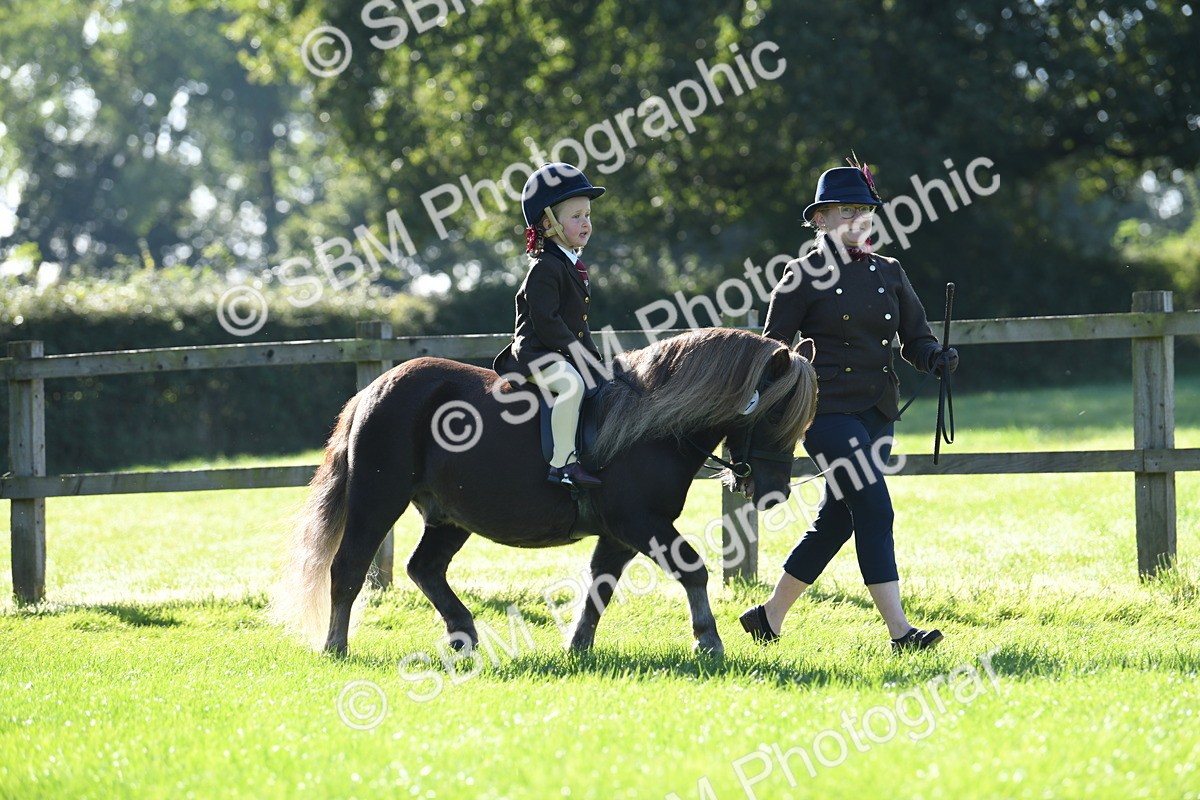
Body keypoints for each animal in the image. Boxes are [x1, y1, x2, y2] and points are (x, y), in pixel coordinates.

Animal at [271, 327, 817, 656]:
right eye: (774, 411)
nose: (774, 492)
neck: (651, 426)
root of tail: (373, 389)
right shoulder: (642, 524)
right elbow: (693, 569)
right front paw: (708, 642)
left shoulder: (619, 535)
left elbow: (599, 587)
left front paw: (577, 646)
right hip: (377, 500)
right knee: (349, 569)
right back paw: (336, 646)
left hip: (451, 515)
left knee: (424, 568)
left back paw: (464, 634)